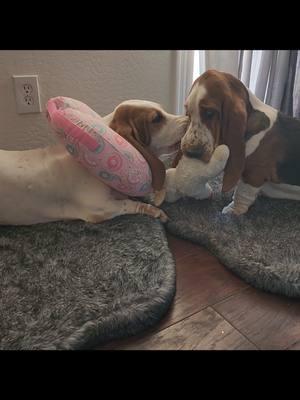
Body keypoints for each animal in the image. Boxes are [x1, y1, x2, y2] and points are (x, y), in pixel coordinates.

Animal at [177, 70, 300, 217]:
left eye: (209, 113)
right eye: (188, 113)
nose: (190, 152)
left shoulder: (253, 174)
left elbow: (242, 195)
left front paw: (232, 211)